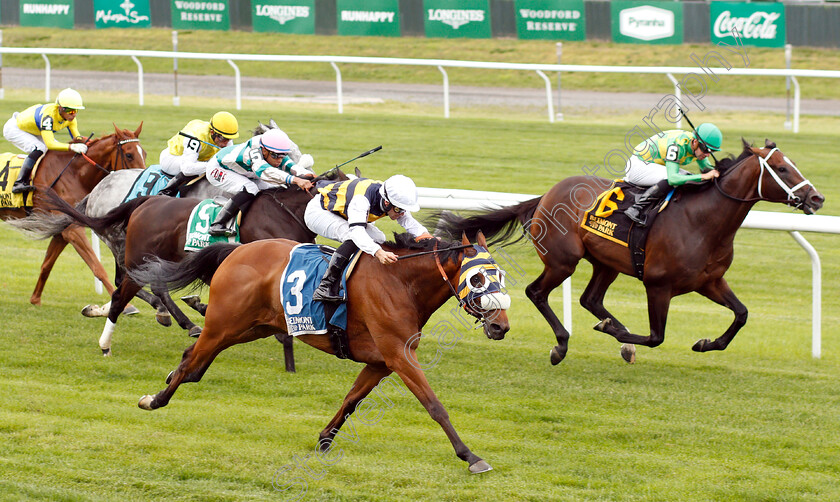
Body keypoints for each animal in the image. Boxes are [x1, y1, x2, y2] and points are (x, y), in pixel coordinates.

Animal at [1, 125, 146, 306]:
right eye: (129, 154)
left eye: (144, 153)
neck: (75, 174)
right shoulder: (72, 230)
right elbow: (98, 267)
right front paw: (126, 305)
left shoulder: (61, 230)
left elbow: (46, 265)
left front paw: (35, 299)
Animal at [37, 169, 346, 356]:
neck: (284, 212)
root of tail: (145, 201)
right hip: (138, 259)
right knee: (124, 292)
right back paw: (110, 339)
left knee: (140, 289)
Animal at [131, 233, 512, 472]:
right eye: (478, 279)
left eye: (501, 276)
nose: (502, 327)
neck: (401, 283)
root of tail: (238, 250)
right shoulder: (399, 355)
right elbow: (434, 405)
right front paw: (470, 456)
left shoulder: (381, 362)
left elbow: (351, 400)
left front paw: (324, 440)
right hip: (225, 324)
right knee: (192, 363)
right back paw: (155, 399)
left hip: (252, 327)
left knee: (192, 360)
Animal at [440, 140, 828, 364]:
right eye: (782, 168)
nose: (817, 197)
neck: (702, 220)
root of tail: (546, 196)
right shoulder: (658, 285)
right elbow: (656, 337)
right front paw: (620, 336)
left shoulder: (710, 281)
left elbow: (742, 314)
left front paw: (706, 343)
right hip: (563, 260)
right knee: (537, 292)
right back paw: (563, 344)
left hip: (605, 263)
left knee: (590, 299)